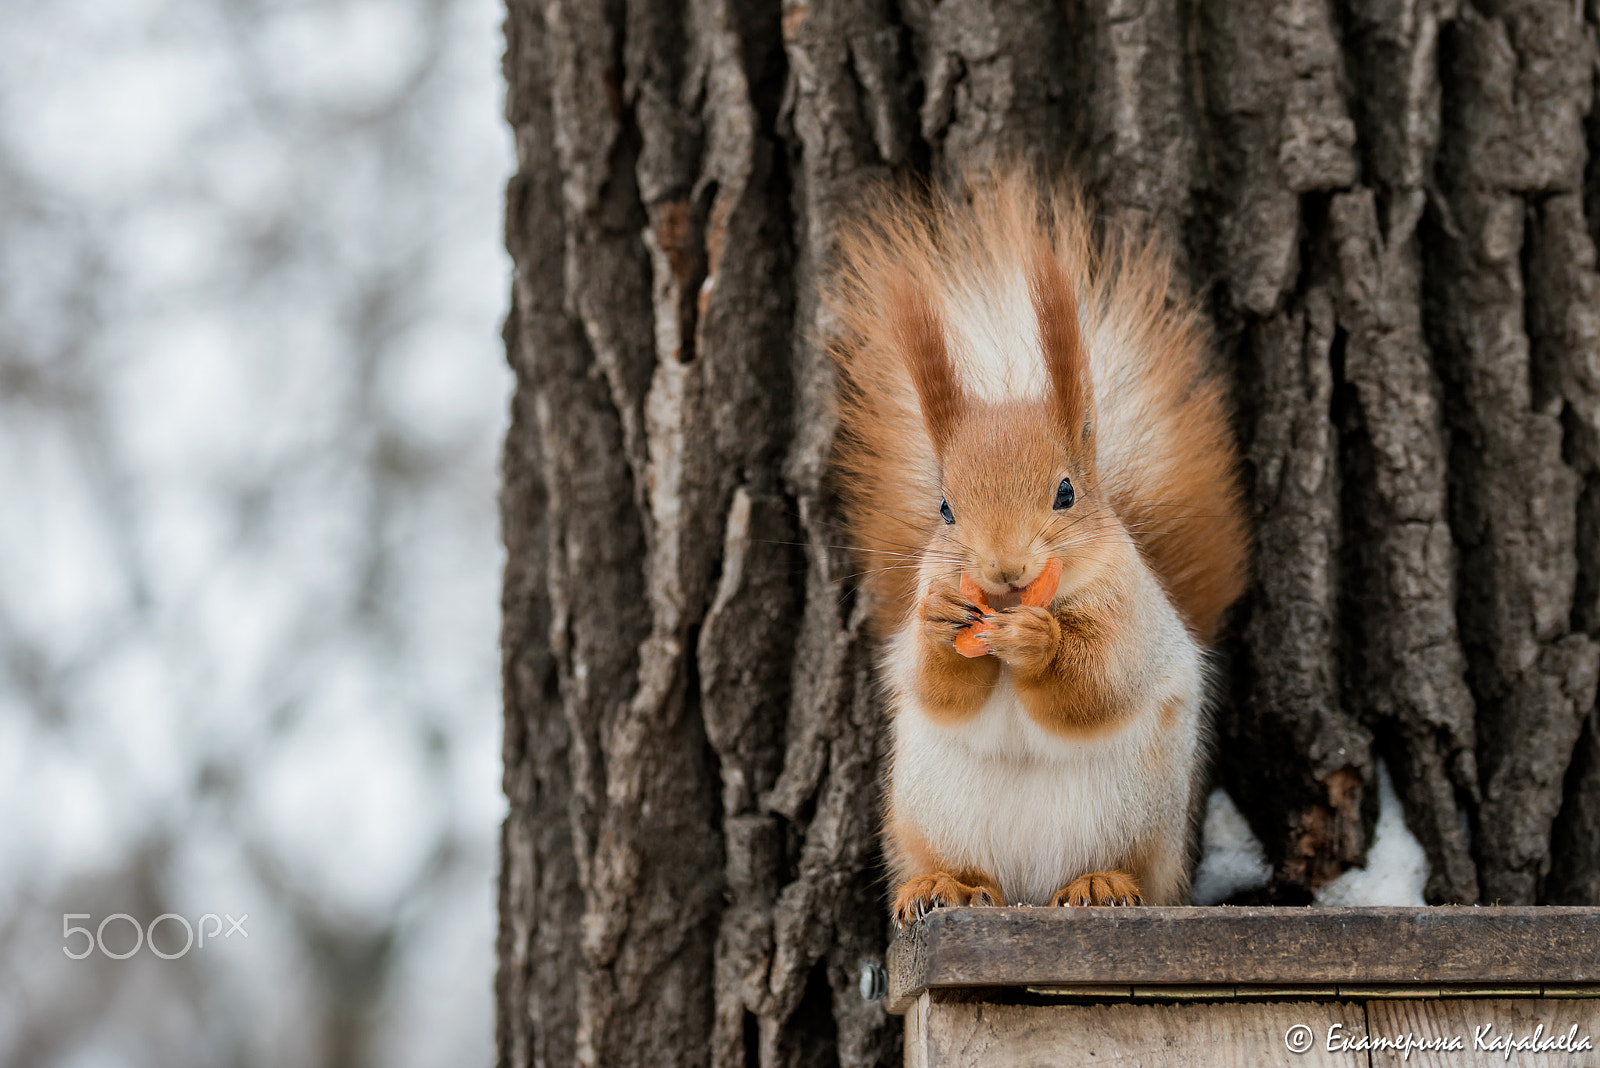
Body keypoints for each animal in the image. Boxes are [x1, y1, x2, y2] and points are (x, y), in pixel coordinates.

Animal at [826, 170, 1250, 929]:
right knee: (964, 871)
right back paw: (943, 887)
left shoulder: (1130, 617)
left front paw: (1039, 642)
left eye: (1066, 492)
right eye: (944, 508)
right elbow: (937, 686)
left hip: (1131, 819)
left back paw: (1098, 885)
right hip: (933, 815)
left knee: (1121, 868)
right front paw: (943, 628)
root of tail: (1024, 889)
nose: (1003, 570)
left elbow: (1097, 685)